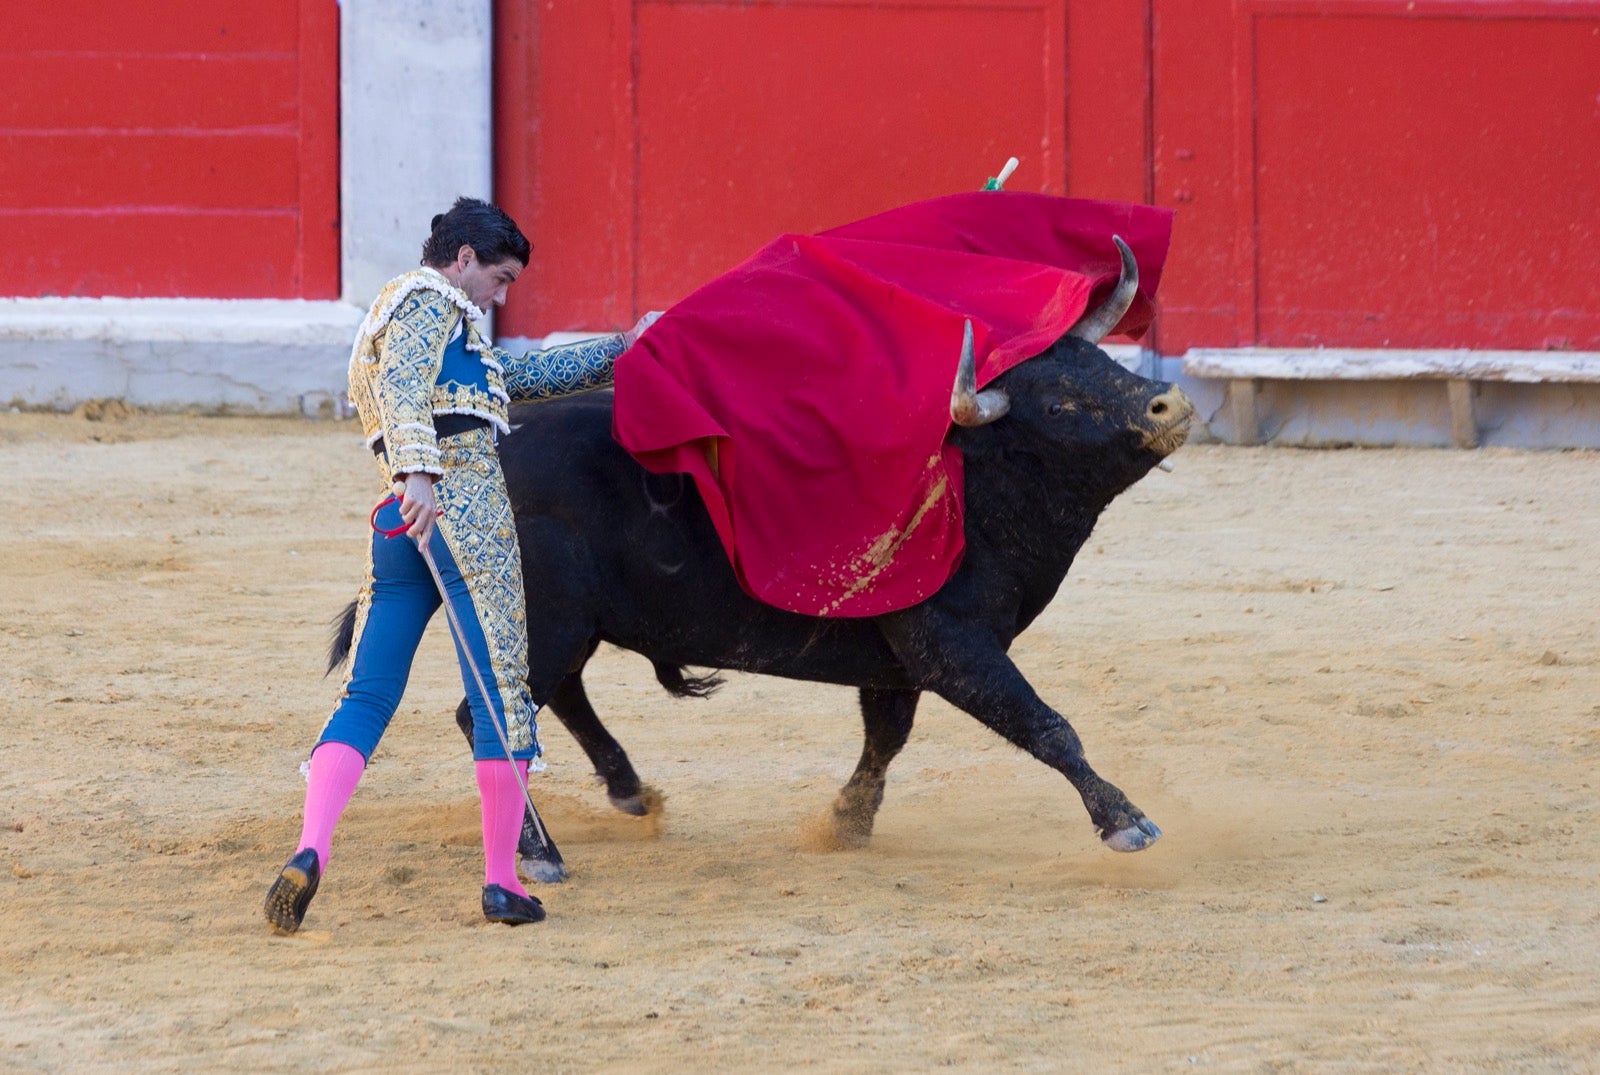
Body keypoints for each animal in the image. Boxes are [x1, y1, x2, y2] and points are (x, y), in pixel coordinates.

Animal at [331, 239, 1196, 876]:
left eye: (1104, 365)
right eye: (1059, 403)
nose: (1172, 404)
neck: (974, 479)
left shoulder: (899, 655)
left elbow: (887, 737)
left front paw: (845, 823)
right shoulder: (949, 641)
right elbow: (1046, 724)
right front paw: (1126, 821)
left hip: (561, 625)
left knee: (560, 697)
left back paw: (631, 791)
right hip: (534, 618)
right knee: (496, 712)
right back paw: (539, 851)